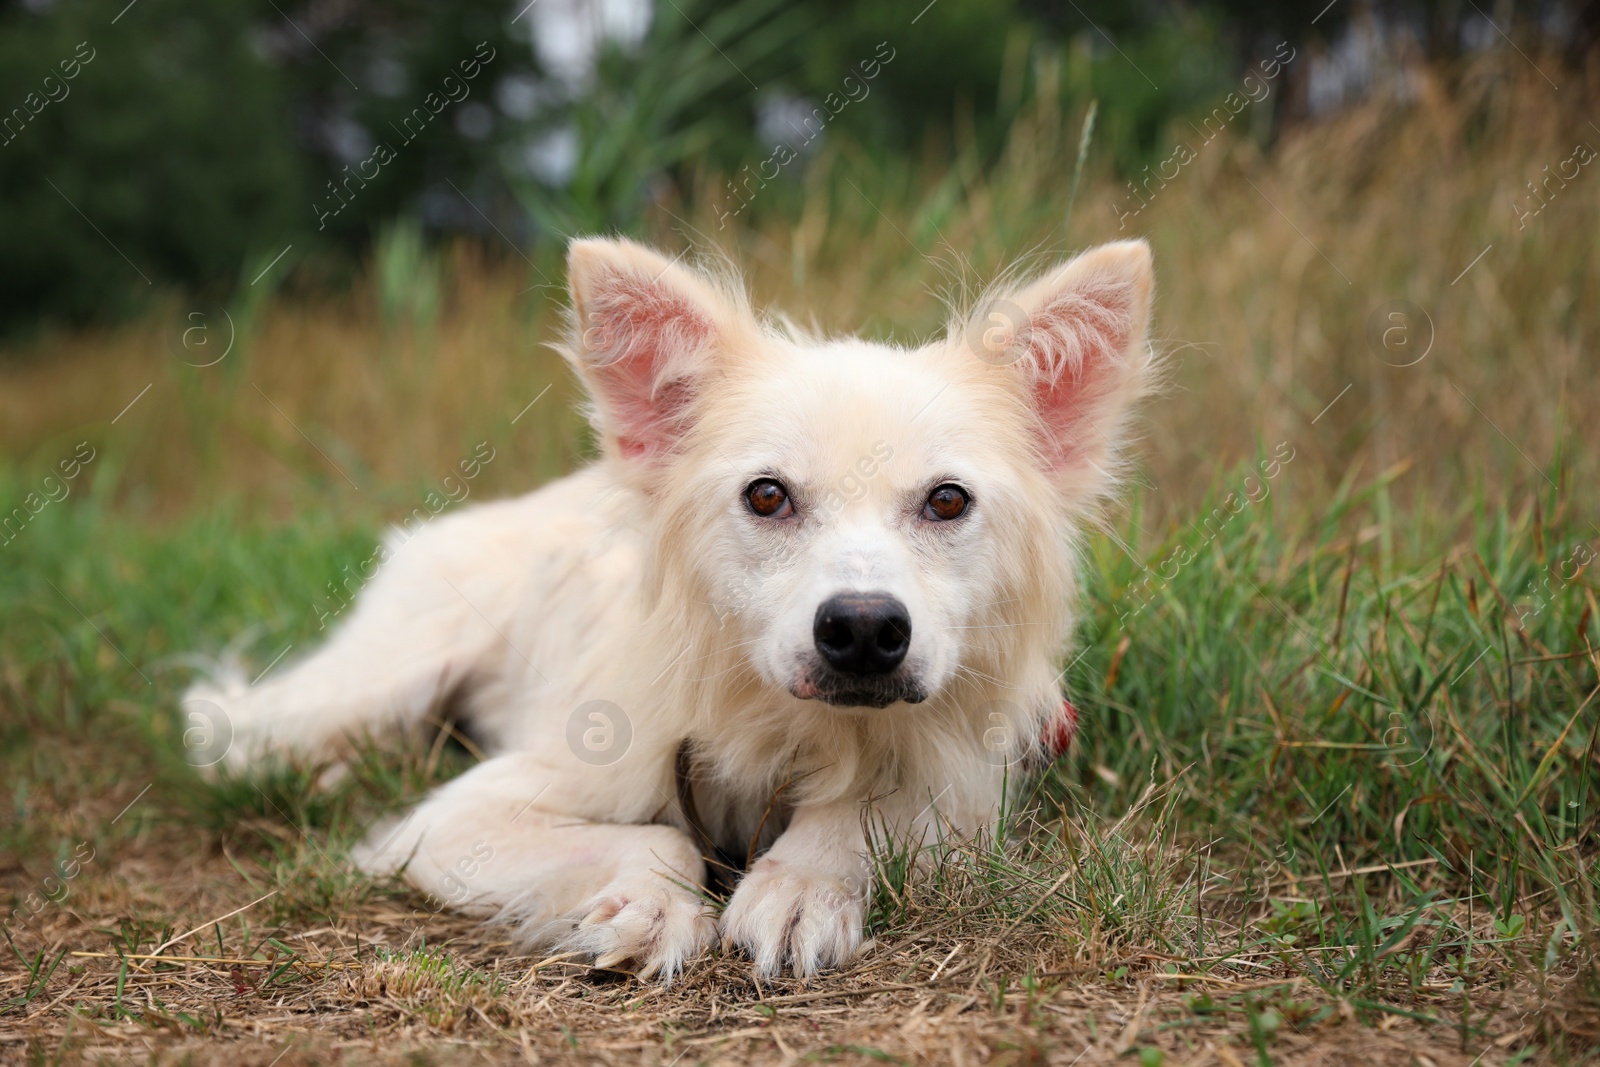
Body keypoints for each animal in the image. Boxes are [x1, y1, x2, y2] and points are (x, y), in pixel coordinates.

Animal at [187, 235, 1158, 985]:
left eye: (947, 501)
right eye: (767, 495)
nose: (862, 631)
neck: (788, 732)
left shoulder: (964, 782)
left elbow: (867, 810)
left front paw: (802, 883)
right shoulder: (453, 821)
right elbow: (659, 837)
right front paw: (654, 904)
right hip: (372, 681)